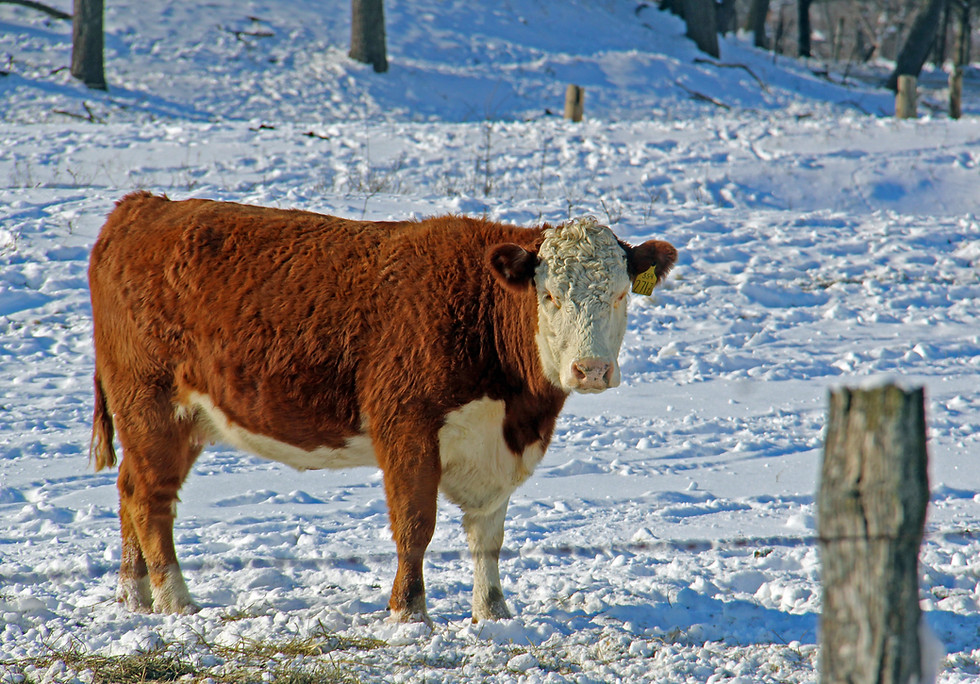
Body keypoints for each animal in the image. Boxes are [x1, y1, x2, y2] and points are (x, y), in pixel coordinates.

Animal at [88, 192, 677, 624]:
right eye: (549, 295)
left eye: (622, 294)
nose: (591, 370)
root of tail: (143, 206)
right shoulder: (405, 426)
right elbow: (416, 525)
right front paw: (409, 614)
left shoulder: (496, 451)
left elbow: (487, 536)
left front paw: (494, 614)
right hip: (152, 404)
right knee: (150, 499)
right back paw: (174, 600)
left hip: (174, 420)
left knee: (129, 487)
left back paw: (135, 596)